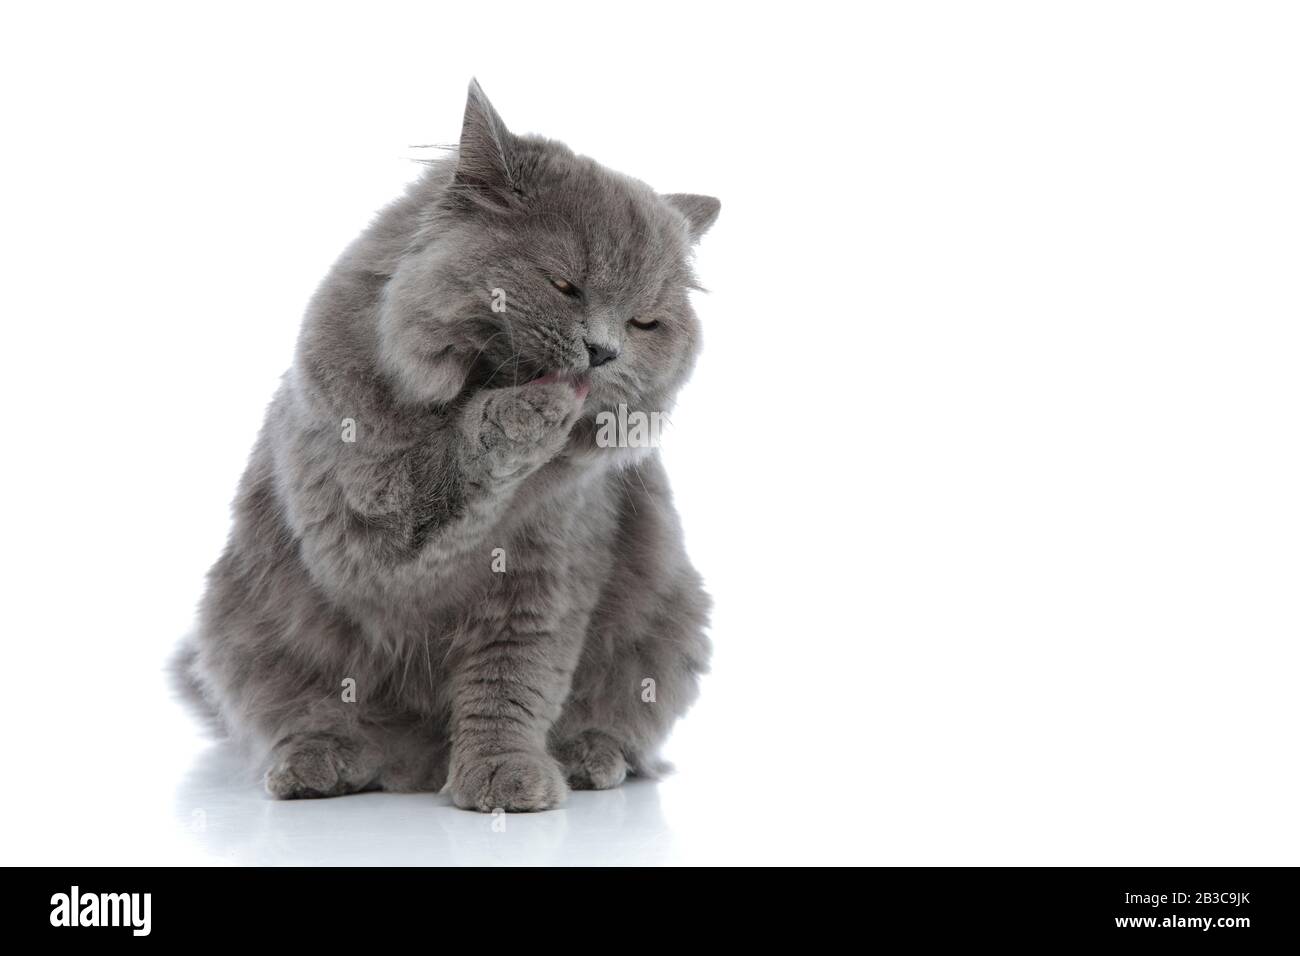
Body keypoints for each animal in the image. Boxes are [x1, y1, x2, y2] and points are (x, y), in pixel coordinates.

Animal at [172, 83, 717, 816]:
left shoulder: (547, 573)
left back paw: (589, 758)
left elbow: (511, 684)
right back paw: (320, 765)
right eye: (565, 284)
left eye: (645, 322)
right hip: (243, 622)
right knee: (313, 715)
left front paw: (504, 776)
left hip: (670, 626)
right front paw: (529, 408)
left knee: (616, 719)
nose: (602, 352)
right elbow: (454, 460)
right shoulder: (360, 503)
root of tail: (416, 765)